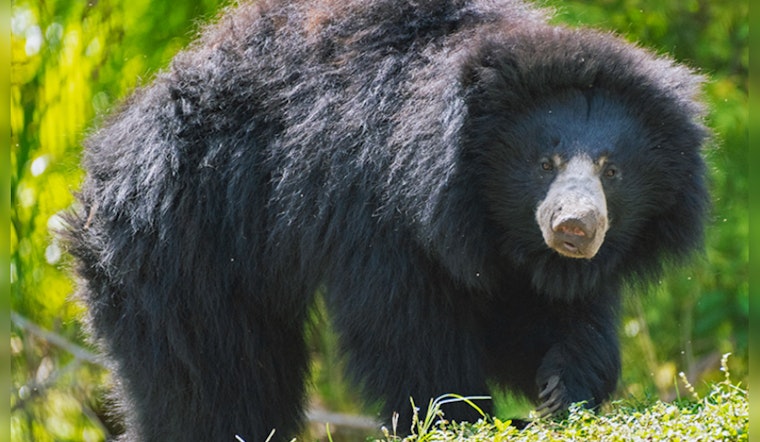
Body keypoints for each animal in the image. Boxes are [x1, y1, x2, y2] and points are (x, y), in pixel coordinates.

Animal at [64, 0, 709, 440]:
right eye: (544, 162)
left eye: (611, 169)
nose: (574, 227)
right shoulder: (378, 216)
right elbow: (406, 330)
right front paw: (458, 416)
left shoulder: (506, 246)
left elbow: (544, 314)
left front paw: (562, 387)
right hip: (180, 233)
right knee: (208, 369)